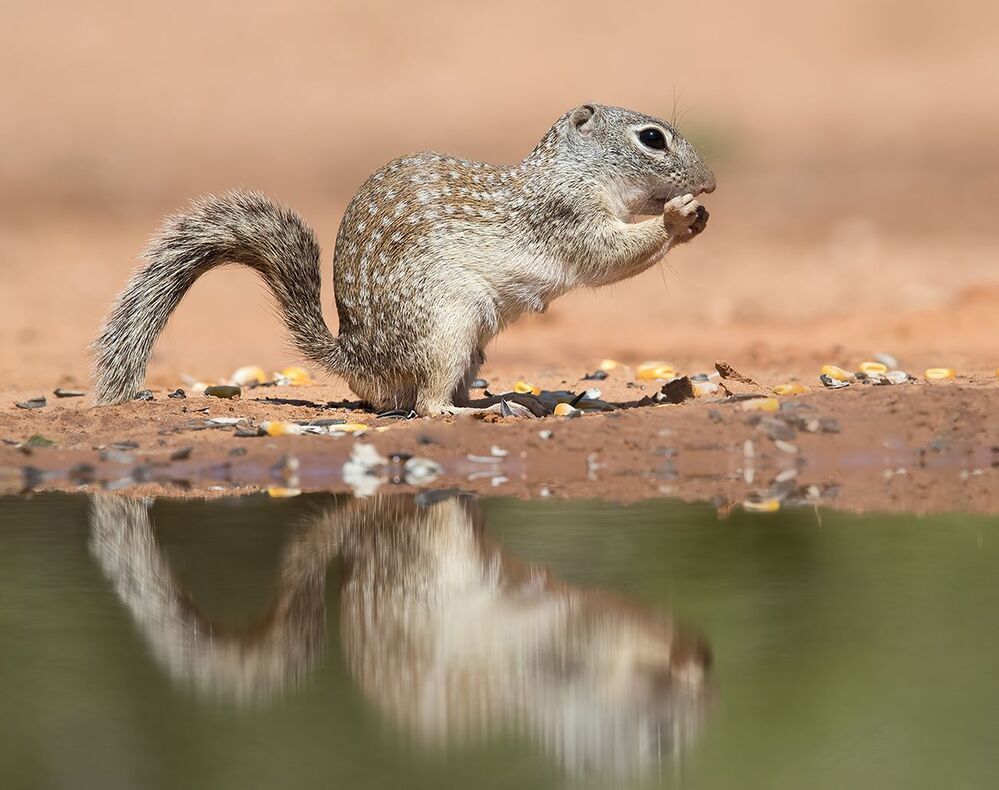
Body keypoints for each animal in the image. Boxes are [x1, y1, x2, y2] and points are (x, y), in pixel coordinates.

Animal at [92, 103, 715, 415]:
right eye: (652, 138)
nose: (709, 183)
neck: (574, 170)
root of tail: (355, 356)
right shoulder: (566, 215)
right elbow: (608, 252)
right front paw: (676, 217)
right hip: (445, 325)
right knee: (429, 405)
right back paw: (476, 411)